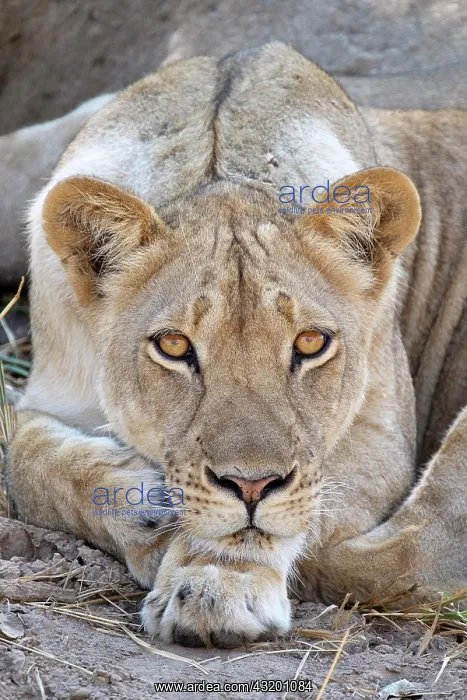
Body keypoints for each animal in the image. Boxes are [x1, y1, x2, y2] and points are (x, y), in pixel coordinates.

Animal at [6, 43, 467, 647]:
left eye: (311, 342)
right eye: (174, 345)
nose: (252, 485)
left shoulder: (382, 443)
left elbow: (290, 510)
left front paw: (218, 582)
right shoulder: (46, 393)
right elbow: (25, 456)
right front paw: (143, 506)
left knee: (412, 556)